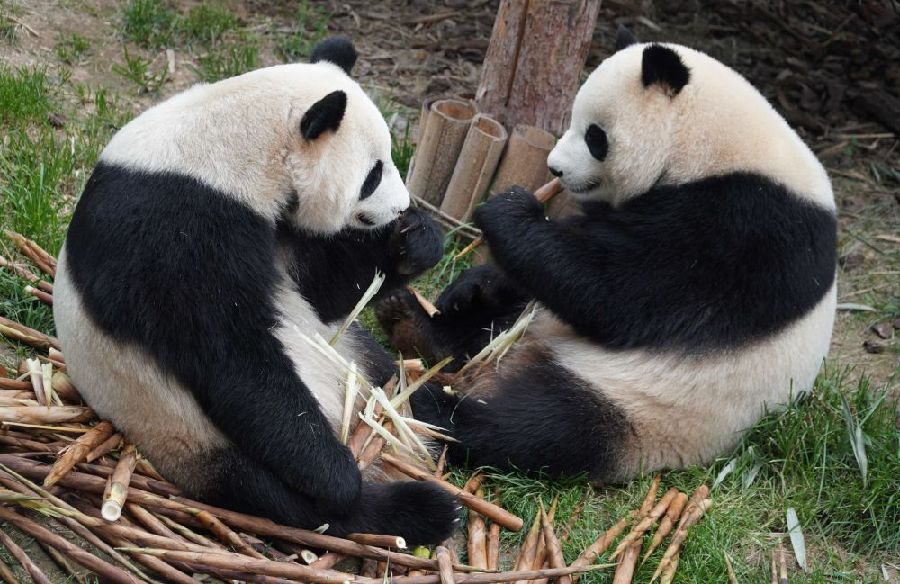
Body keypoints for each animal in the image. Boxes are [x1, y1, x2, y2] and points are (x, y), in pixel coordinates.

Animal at [51, 36, 458, 544]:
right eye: (373, 175)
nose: (400, 207)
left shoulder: (279, 225)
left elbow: (323, 291)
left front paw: (414, 240)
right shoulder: (174, 226)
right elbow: (231, 354)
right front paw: (338, 476)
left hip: (355, 359)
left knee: (408, 389)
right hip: (183, 429)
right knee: (288, 500)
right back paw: (417, 507)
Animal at [376, 27, 840, 482]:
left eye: (595, 136)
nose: (555, 168)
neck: (717, 145)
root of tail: (525, 357)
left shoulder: (745, 228)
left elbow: (620, 293)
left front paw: (507, 210)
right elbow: (565, 259)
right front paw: (471, 285)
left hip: (646, 407)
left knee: (543, 426)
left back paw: (433, 406)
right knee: (500, 324)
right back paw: (414, 324)